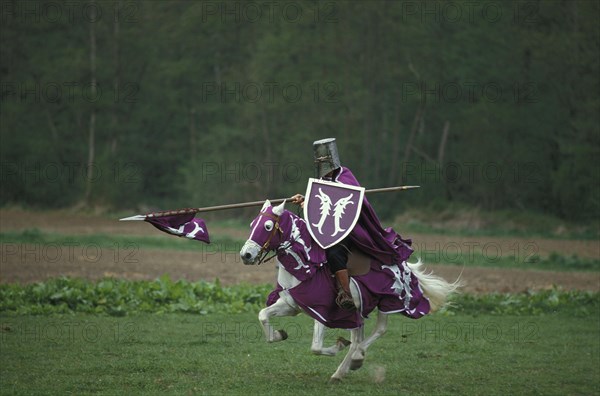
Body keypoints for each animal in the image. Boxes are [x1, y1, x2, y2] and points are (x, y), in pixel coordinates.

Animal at [239, 200, 460, 382]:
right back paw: (341, 371)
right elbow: (262, 315)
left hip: (387, 301)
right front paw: (278, 334)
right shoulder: (291, 305)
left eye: (267, 226)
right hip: (356, 310)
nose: (245, 255)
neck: (306, 267)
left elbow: (316, 347)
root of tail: (402, 262)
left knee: (378, 331)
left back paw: (356, 358)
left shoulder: (322, 311)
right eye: (252, 224)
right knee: (357, 339)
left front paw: (337, 346)